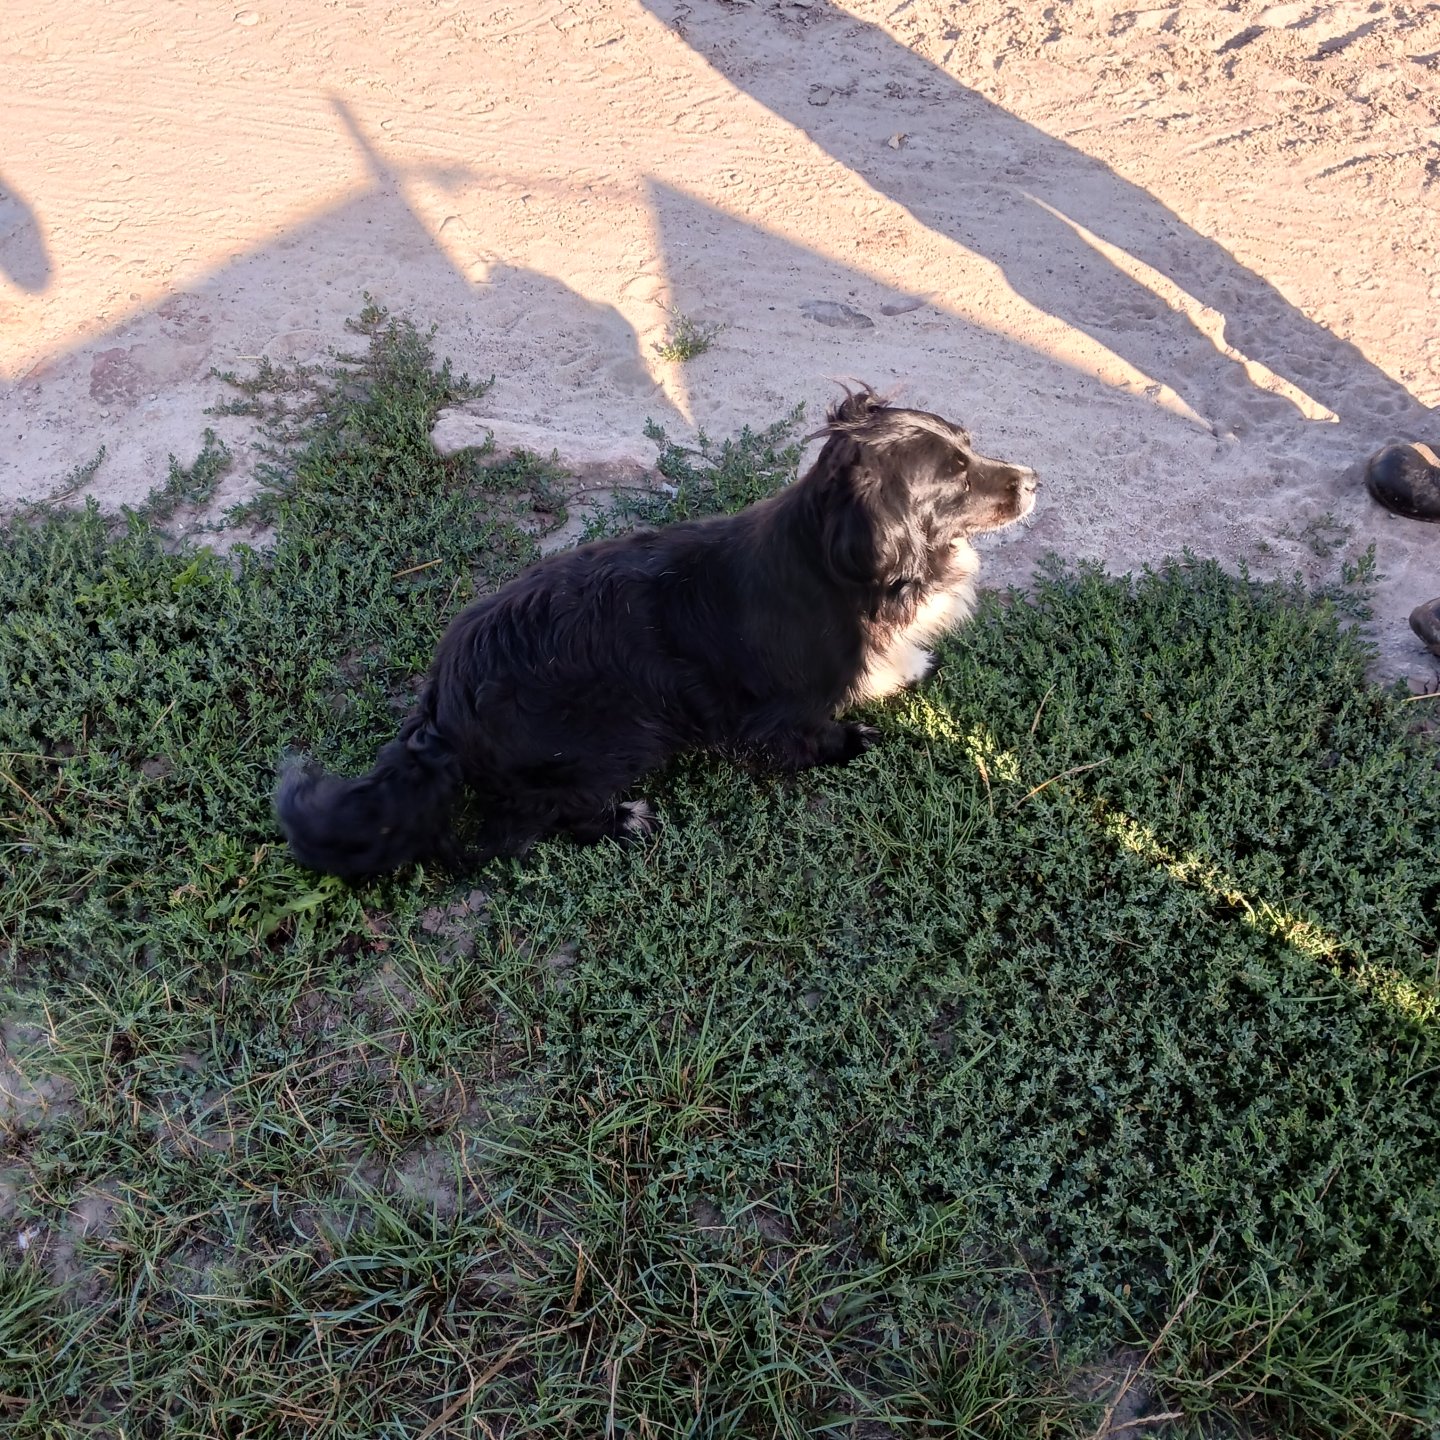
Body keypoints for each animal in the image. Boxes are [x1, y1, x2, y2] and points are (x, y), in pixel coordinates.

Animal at [276, 386, 1037, 879]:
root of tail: (441, 705)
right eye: (956, 476)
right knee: (530, 823)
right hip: (621, 736)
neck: (844, 564)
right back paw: (623, 820)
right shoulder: (774, 712)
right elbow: (803, 738)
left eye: (971, 449)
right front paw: (850, 740)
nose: (1032, 479)